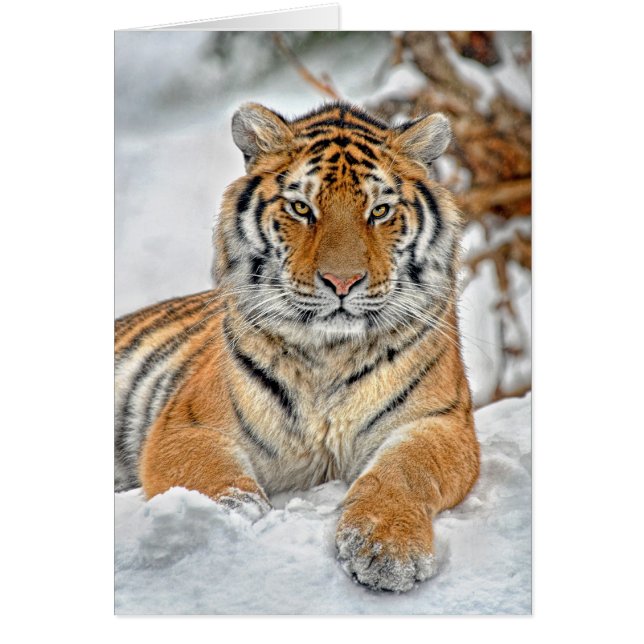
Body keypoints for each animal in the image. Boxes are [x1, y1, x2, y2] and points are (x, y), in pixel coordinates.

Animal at [115, 102, 480, 592]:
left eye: (380, 210)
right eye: (302, 208)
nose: (342, 282)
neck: (330, 353)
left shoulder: (439, 422)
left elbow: (405, 472)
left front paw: (388, 548)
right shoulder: (188, 423)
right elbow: (205, 471)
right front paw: (233, 514)